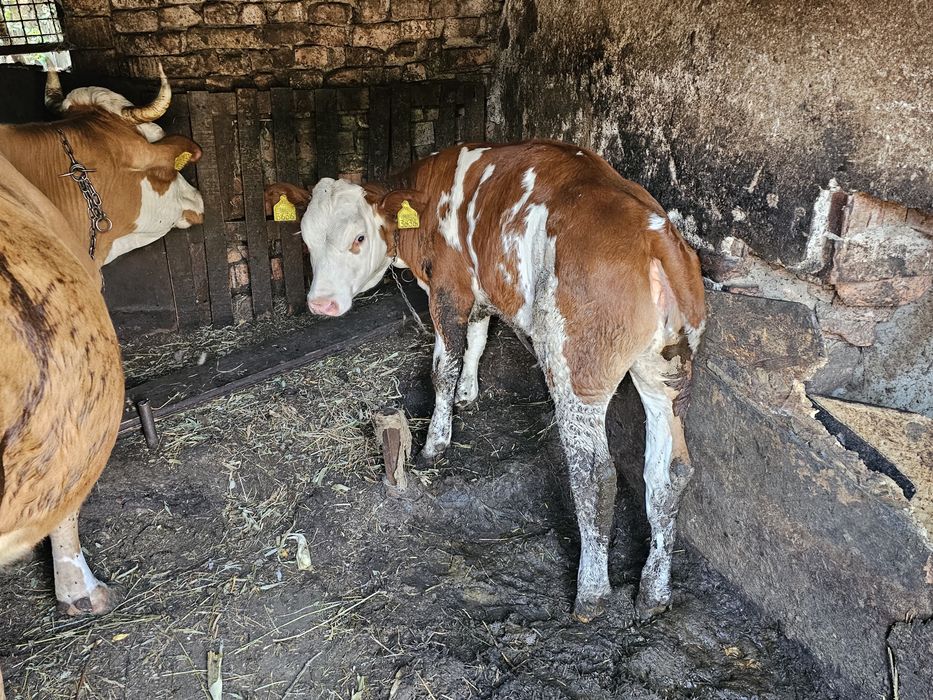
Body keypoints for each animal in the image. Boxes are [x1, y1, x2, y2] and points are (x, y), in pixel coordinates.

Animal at [267, 140, 705, 623]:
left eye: (358, 238)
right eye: (305, 239)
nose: (320, 304)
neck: (426, 197)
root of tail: (655, 235)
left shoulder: (448, 288)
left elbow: (443, 366)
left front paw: (436, 440)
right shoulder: (479, 291)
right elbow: (477, 340)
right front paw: (468, 392)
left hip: (577, 369)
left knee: (595, 474)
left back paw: (591, 594)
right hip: (667, 372)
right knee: (670, 472)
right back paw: (654, 593)